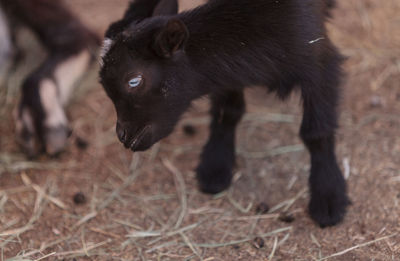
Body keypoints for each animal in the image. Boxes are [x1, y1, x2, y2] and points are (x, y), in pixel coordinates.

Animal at [101, 0, 350, 226]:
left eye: (134, 81)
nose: (123, 135)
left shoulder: (319, 63)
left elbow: (316, 133)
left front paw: (328, 198)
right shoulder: (229, 72)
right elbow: (227, 111)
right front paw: (215, 167)